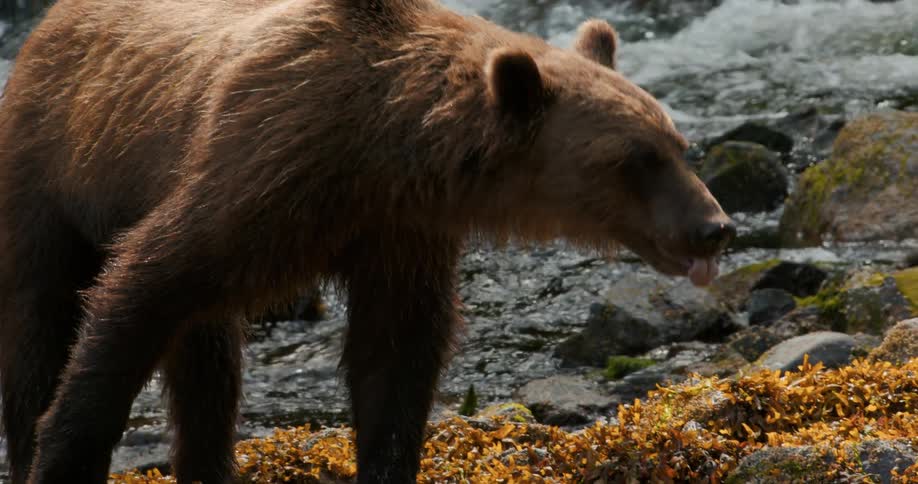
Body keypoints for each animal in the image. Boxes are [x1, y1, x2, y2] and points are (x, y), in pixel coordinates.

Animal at [0, 0, 734, 482]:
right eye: (638, 157)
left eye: (679, 143)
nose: (716, 227)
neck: (379, 143)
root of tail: (47, 25)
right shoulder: (254, 172)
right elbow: (138, 290)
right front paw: (61, 454)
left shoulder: (399, 232)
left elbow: (397, 354)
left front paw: (387, 460)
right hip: (52, 171)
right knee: (41, 321)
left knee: (207, 361)